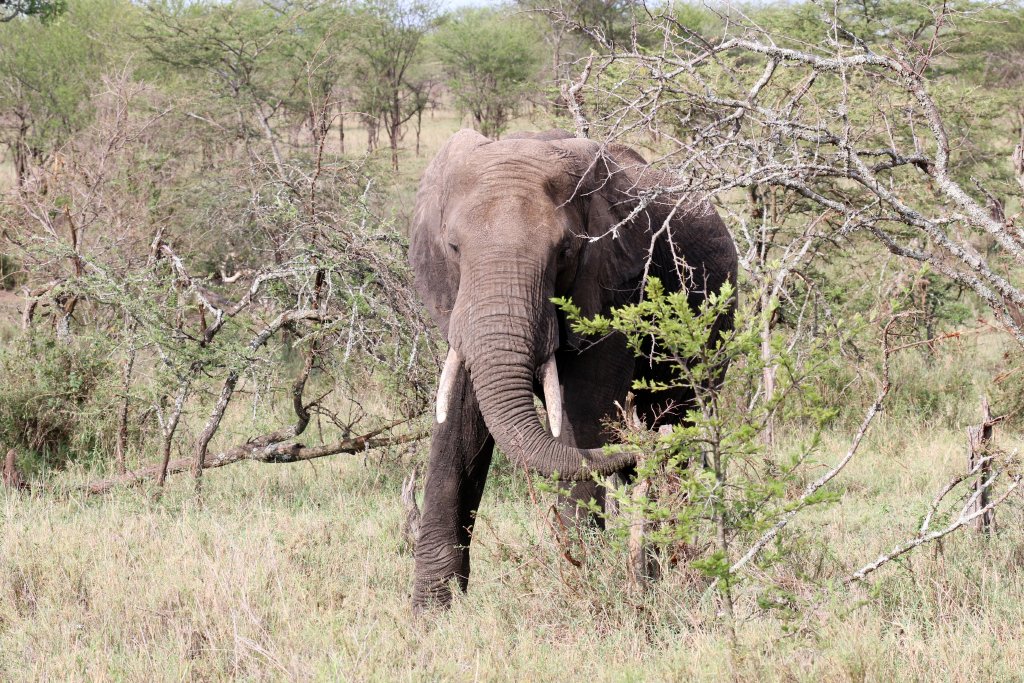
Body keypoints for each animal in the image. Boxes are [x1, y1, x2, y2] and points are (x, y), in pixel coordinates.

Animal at [408, 128, 738, 611]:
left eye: (565, 250)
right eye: (453, 247)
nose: (641, 445)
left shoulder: (613, 287)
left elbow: (581, 424)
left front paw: (591, 590)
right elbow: (459, 425)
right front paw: (432, 613)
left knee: (678, 424)